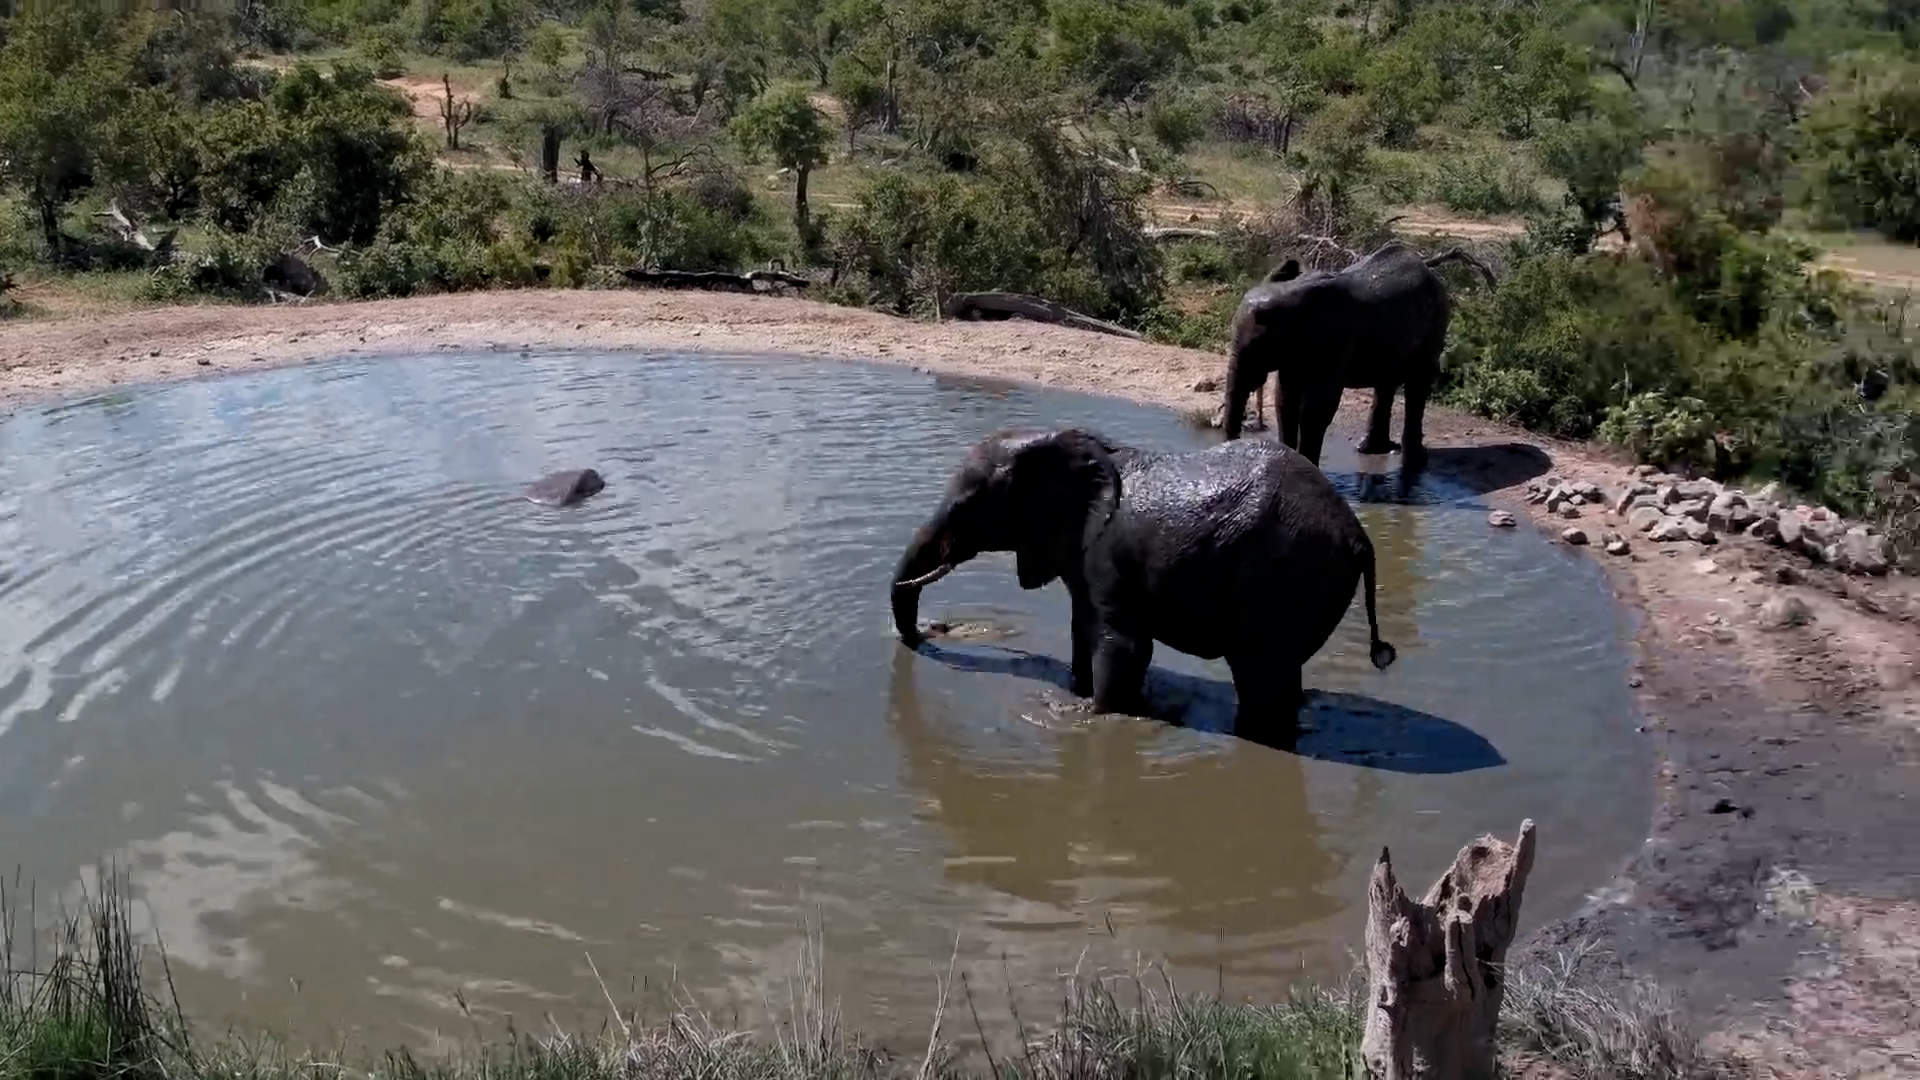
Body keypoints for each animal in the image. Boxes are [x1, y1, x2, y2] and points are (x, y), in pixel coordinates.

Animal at [890, 428, 1396, 737]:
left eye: (968, 506)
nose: (932, 631)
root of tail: (1360, 538)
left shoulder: (1108, 553)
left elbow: (1123, 644)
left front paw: (1086, 716)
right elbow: (1084, 628)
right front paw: (1078, 693)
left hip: (1287, 578)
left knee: (1260, 677)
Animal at [1220, 241, 1497, 468]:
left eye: (1258, 346)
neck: (1290, 294)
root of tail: (1426, 264)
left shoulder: (1334, 342)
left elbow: (1317, 406)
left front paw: (1307, 465)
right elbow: (1285, 400)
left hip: (1436, 322)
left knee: (1417, 383)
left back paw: (1415, 462)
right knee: (1387, 381)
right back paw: (1373, 451)